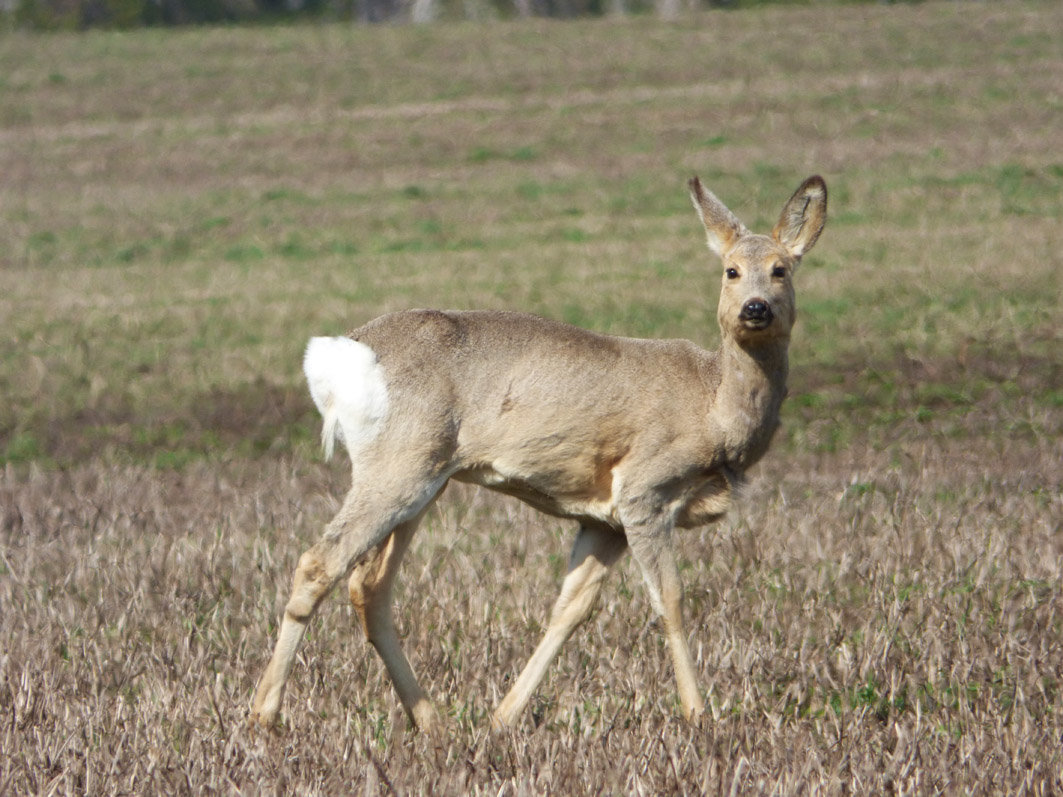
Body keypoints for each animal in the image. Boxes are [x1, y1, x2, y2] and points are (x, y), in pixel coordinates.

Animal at [250, 173, 829, 731]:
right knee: (319, 564)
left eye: (781, 269)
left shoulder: (604, 520)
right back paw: (263, 715)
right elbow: (670, 601)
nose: (756, 308)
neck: (713, 404)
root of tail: (338, 354)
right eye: (731, 271)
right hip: (397, 470)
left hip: (421, 482)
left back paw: (431, 722)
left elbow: (569, 610)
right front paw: (699, 716)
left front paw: (502, 717)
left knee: (369, 587)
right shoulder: (646, 491)